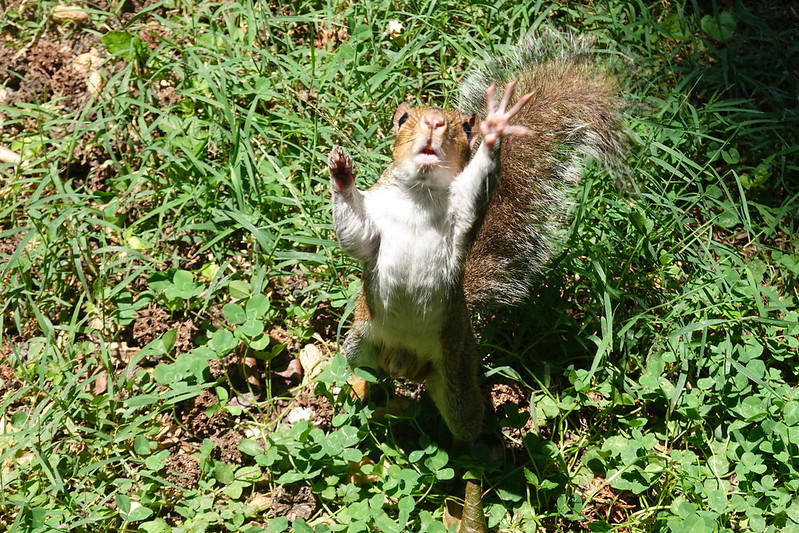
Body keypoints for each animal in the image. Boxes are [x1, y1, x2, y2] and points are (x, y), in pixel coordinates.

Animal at [328, 33, 626, 443]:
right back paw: (356, 389)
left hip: (456, 374)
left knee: (467, 423)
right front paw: (341, 173)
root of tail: (406, 363)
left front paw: (496, 127)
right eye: (403, 119)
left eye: (467, 128)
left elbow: (477, 182)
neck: (420, 197)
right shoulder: (375, 224)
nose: (434, 123)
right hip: (361, 339)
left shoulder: (464, 213)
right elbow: (354, 236)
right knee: (364, 370)